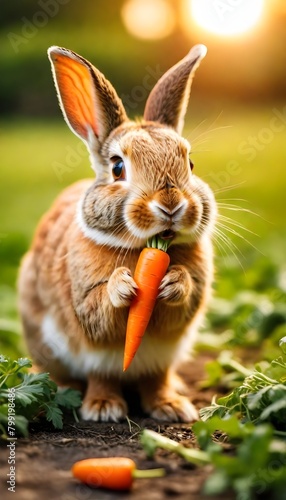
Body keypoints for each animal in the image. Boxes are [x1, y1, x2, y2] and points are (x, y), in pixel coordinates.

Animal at [17, 45, 216, 424]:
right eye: (118, 167)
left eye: (191, 164)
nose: (170, 205)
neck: (146, 248)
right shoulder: (84, 305)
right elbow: (100, 313)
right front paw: (122, 286)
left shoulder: (180, 320)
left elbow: (181, 304)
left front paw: (174, 282)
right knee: (99, 376)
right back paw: (101, 407)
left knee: (156, 378)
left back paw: (172, 405)